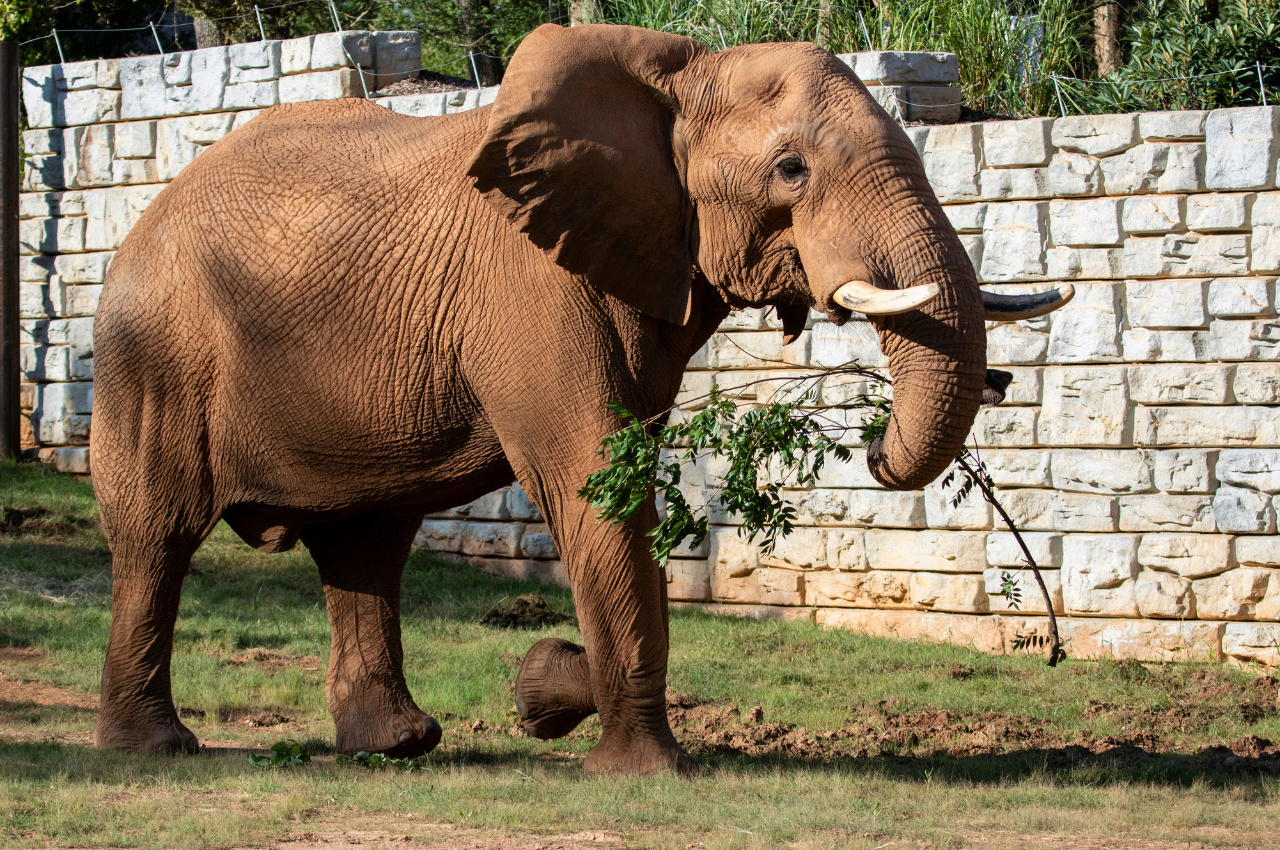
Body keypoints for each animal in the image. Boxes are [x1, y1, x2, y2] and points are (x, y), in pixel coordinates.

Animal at [89, 22, 1070, 774]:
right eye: (791, 169)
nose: (869, 449)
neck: (677, 76)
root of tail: (142, 218)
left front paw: (543, 691)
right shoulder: (532, 286)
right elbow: (597, 485)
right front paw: (625, 755)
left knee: (365, 543)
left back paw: (396, 747)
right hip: (153, 354)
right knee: (157, 533)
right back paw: (157, 751)